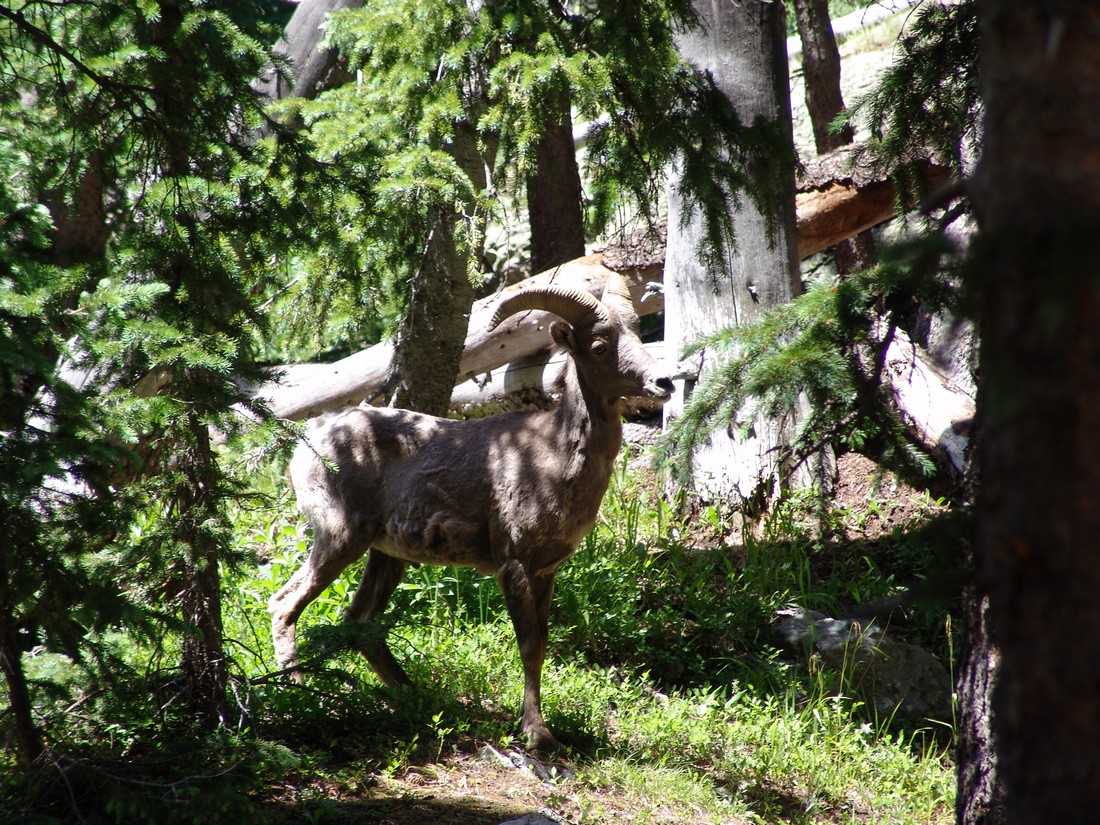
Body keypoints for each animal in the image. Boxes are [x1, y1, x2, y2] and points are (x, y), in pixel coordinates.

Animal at [270, 271, 673, 748]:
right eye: (597, 346)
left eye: (635, 333)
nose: (663, 383)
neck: (554, 457)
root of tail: (307, 444)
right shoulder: (513, 563)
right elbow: (529, 645)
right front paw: (537, 734)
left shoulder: (546, 570)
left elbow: (542, 642)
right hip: (340, 537)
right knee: (285, 605)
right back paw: (299, 698)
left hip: (386, 556)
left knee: (361, 622)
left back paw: (420, 699)